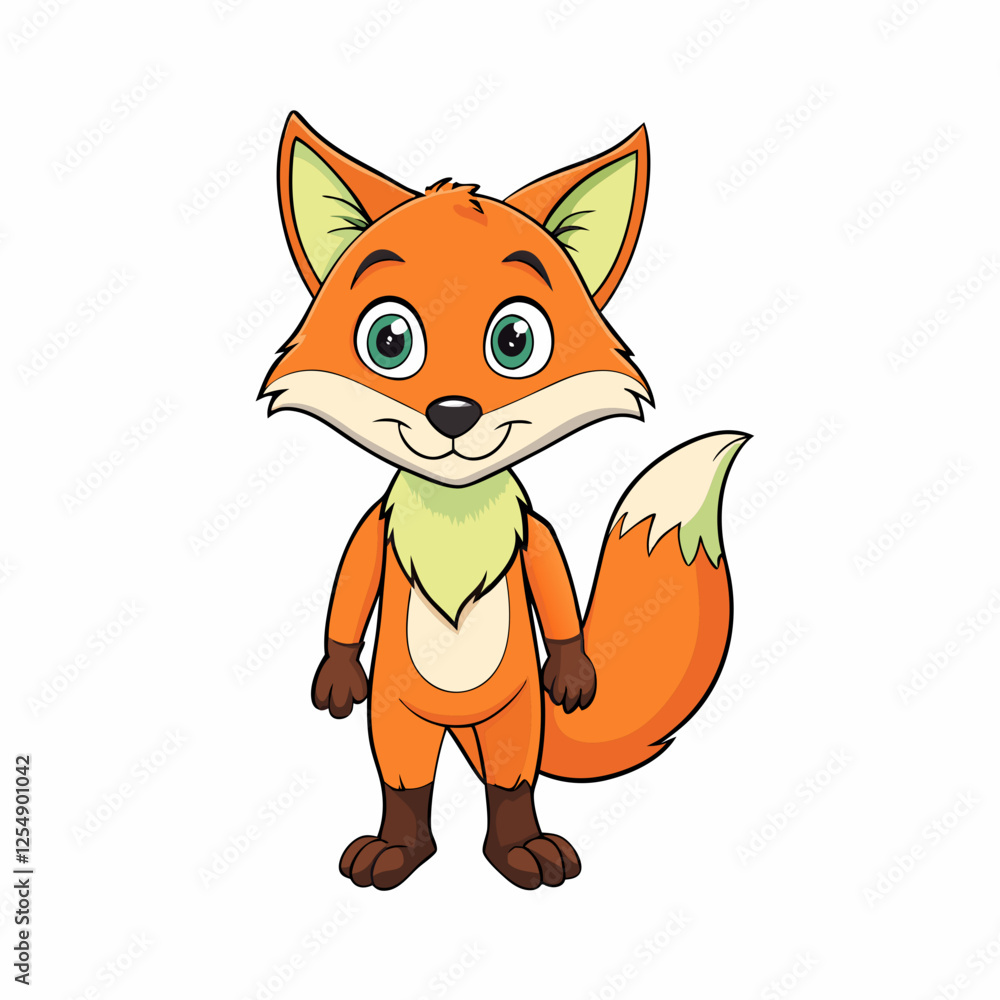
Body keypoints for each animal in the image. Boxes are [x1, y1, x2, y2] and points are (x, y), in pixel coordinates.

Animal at [259, 111, 749, 891]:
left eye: (514, 340)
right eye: (389, 340)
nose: (453, 413)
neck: (455, 514)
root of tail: (458, 724)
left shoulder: (531, 533)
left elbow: (555, 587)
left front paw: (573, 672)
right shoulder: (375, 531)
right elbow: (350, 588)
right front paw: (337, 675)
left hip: (515, 715)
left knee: (510, 779)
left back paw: (521, 850)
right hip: (400, 717)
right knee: (405, 779)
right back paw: (398, 850)